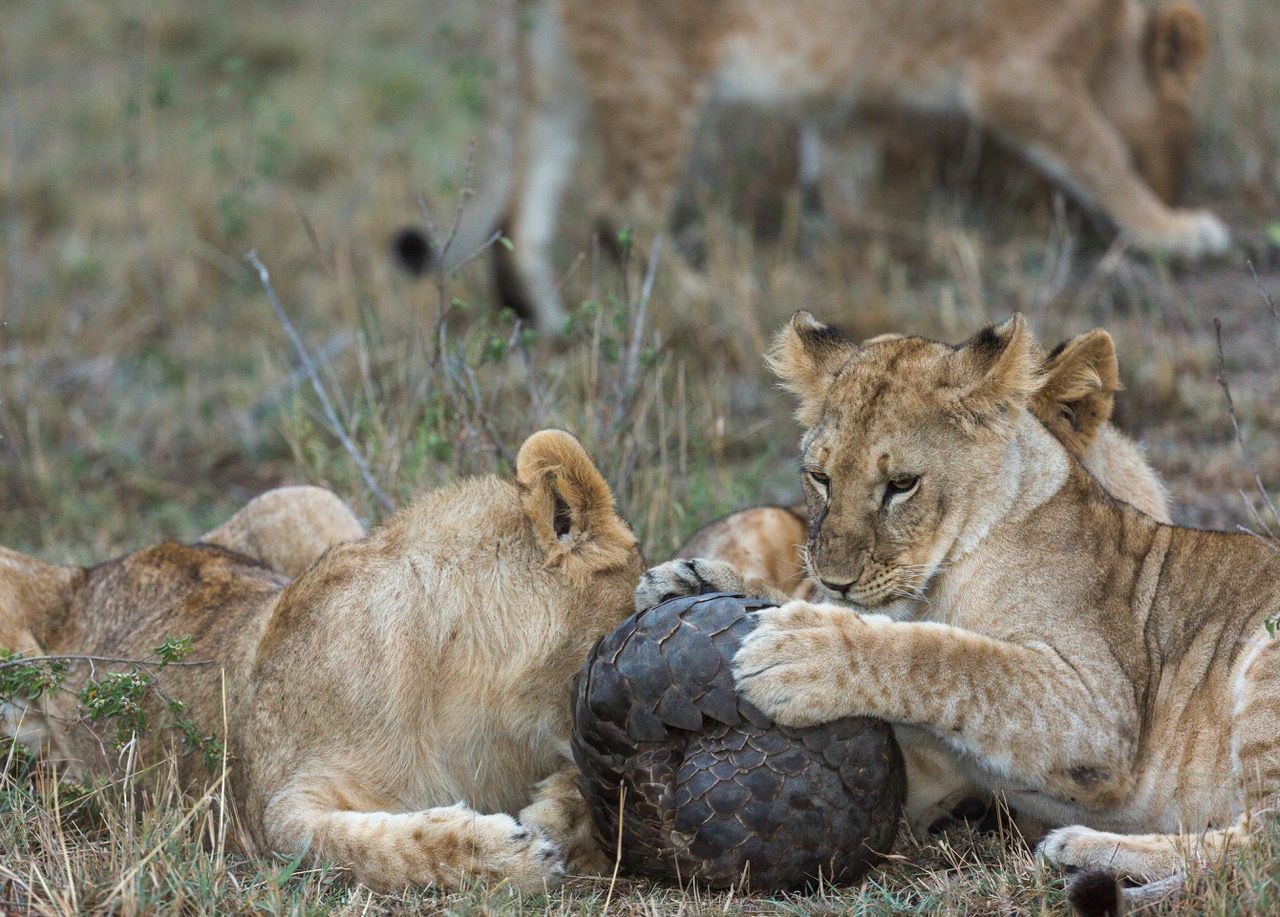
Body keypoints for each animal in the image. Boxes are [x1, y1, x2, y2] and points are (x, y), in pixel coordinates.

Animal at [0, 430, 639, 893]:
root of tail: (89, 573)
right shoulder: (267, 809)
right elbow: (359, 848)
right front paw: (510, 856)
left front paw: (553, 815)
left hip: (304, 495)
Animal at [498, 0, 1226, 328]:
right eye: (1182, 139)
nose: (1176, 186)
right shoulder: (1019, 74)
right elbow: (1103, 155)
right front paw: (1175, 231)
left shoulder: (843, 105)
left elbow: (846, 197)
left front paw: (913, 243)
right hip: (655, 68)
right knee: (623, 208)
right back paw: (704, 298)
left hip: (565, 68)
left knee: (525, 203)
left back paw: (544, 317)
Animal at [643, 311, 1280, 909]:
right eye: (819, 477)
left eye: (902, 484)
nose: (836, 579)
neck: (942, 574)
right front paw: (693, 579)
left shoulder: (1100, 711)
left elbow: (954, 658)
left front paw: (801, 652)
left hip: (1265, 660)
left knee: (1260, 848)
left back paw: (1079, 849)